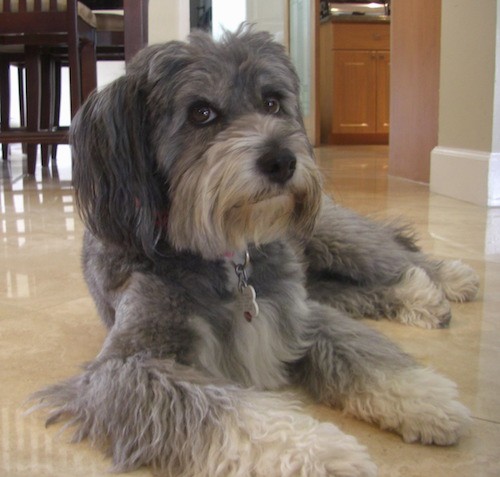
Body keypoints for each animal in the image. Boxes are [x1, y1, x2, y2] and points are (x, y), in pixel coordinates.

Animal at [33, 27, 478, 476]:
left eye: (272, 102)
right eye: (201, 112)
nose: (282, 160)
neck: (228, 255)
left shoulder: (299, 312)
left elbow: (358, 348)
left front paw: (424, 396)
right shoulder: (125, 366)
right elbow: (229, 411)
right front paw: (320, 452)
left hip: (333, 237)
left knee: (395, 257)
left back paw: (448, 280)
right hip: (319, 276)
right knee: (362, 291)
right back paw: (423, 298)